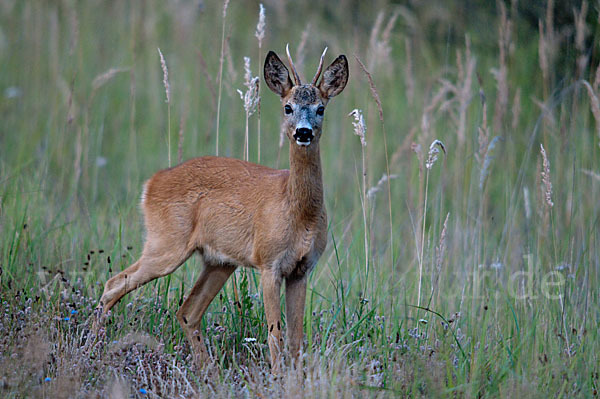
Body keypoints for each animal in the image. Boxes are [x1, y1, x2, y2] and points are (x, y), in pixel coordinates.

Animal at [99, 47, 350, 372]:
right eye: (288, 107)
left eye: (320, 108)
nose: (303, 133)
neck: (297, 213)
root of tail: (151, 183)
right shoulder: (268, 263)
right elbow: (275, 334)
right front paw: (277, 377)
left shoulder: (301, 269)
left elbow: (296, 339)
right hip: (166, 244)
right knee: (114, 283)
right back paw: (93, 345)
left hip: (219, 261)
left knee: (187, 311)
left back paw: (207, 371)